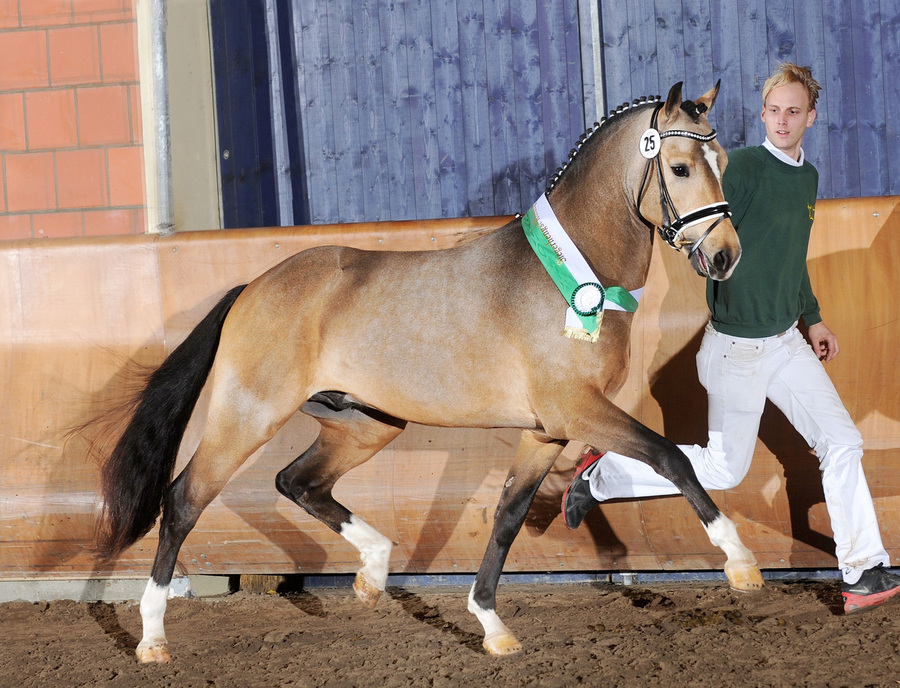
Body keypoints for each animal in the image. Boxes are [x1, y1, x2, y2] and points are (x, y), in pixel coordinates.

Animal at [91, 81, 760, 663]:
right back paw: (152, 639)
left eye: (723, 162)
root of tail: (252, 289)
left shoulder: (546, 430)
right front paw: (740, 562)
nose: (726, 256)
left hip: (366, 424)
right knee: (184, 499)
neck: (572, 275)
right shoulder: (579, 409)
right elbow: (670, 457)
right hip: (249, 416)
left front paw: (491, 624)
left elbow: (508, 515)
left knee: (297, 482)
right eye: (680, 168)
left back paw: (374, 569)